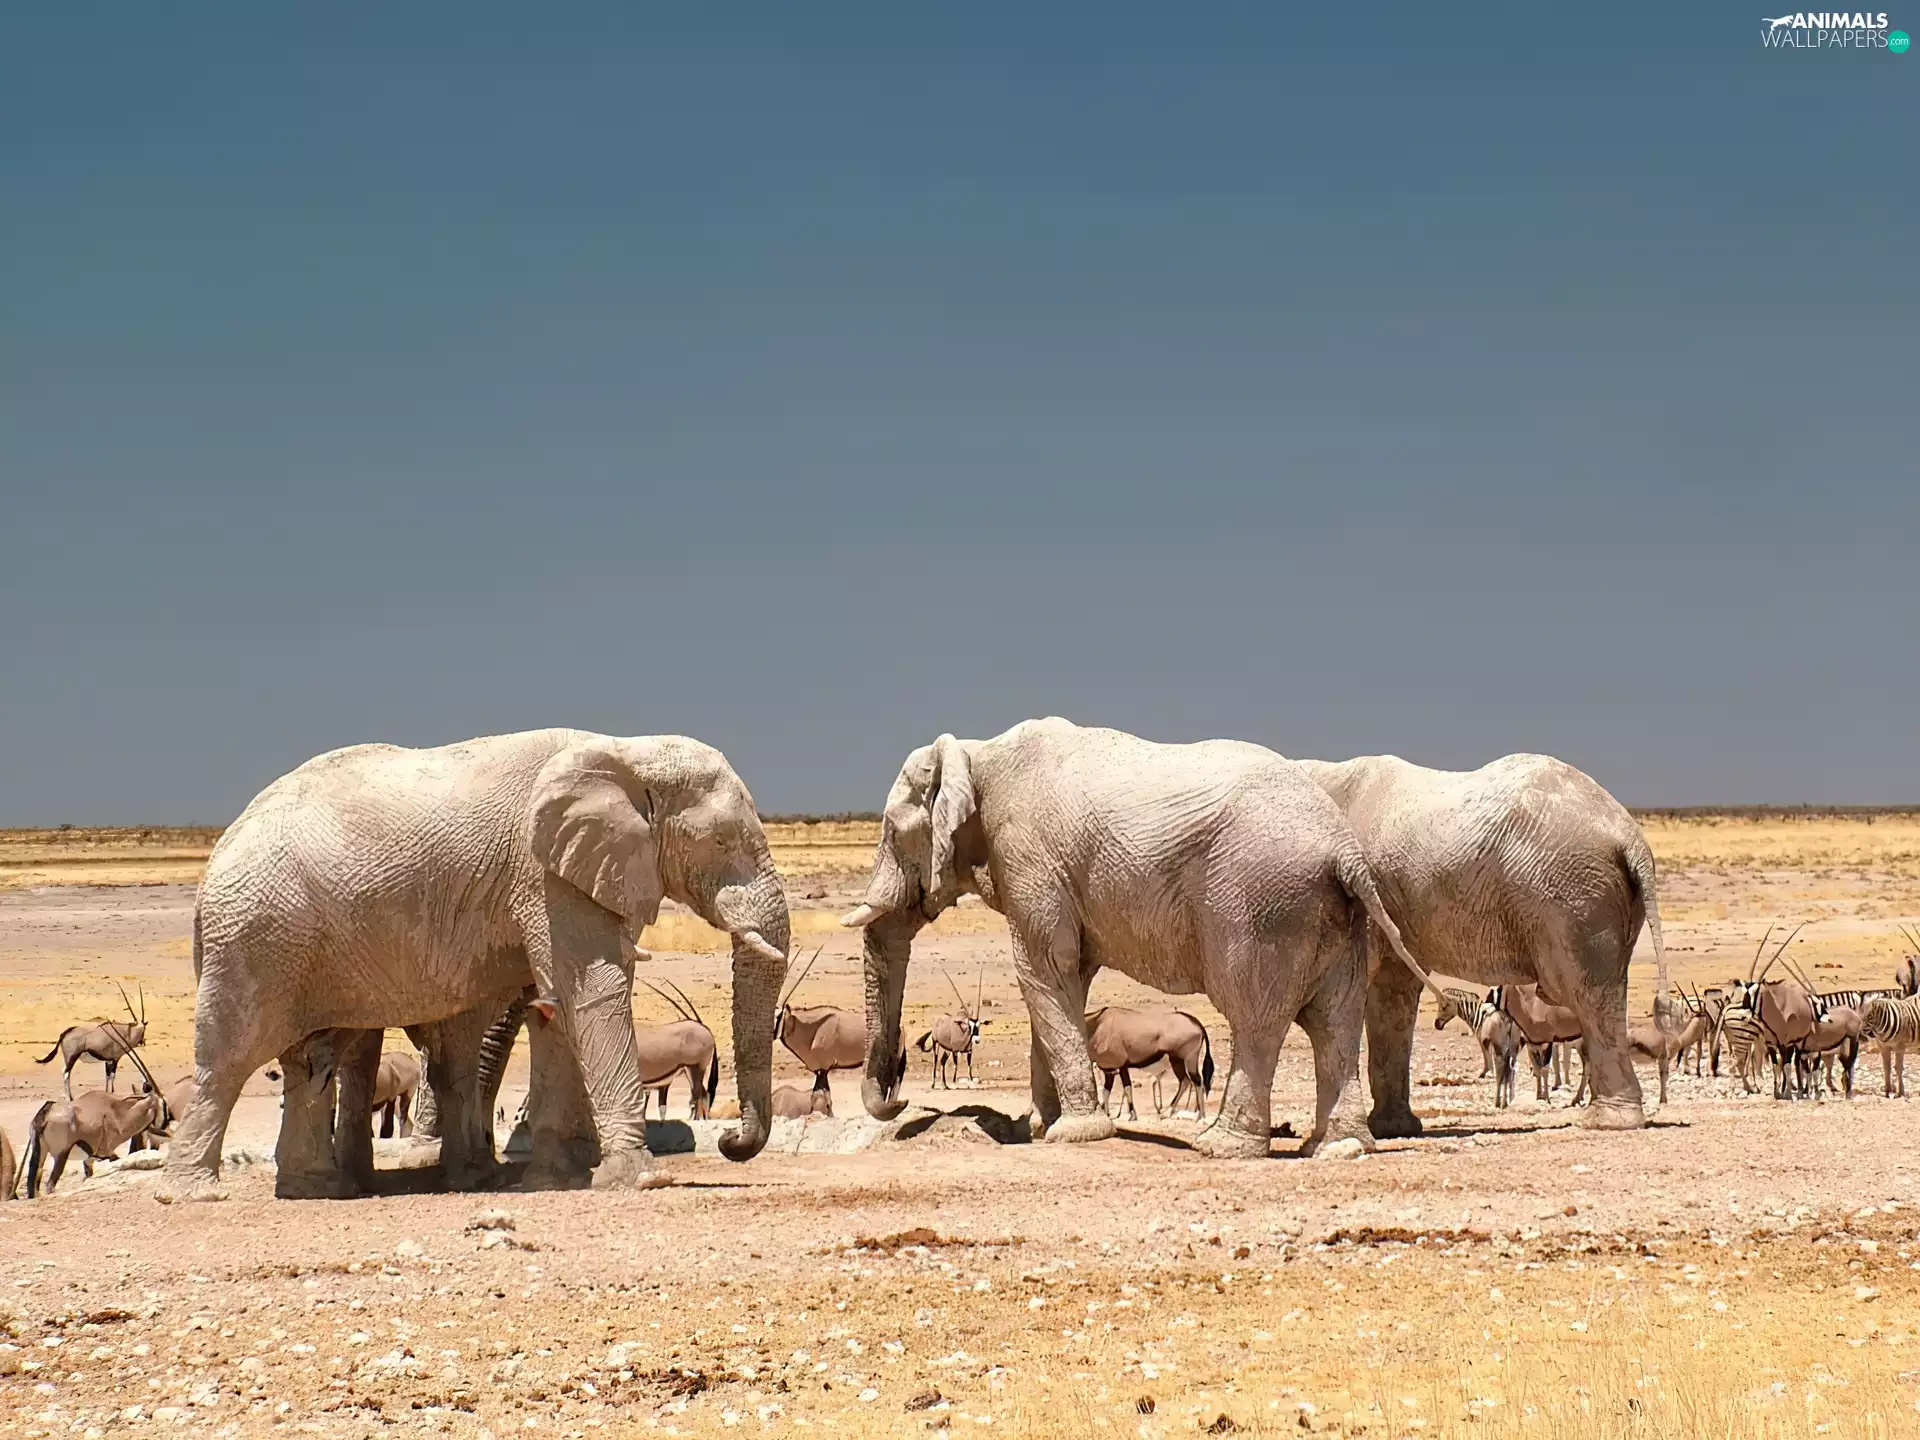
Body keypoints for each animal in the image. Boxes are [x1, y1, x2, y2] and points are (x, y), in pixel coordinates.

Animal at [162, 729, 791, 1201]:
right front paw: (635, 1178)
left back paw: (320, 1188)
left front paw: (559, 1178)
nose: (731, 1140)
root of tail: (219, 851)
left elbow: (555, 1006)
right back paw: (195, 1193)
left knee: (315, 1058)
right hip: (254, 938)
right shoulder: (544, 874)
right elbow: (592, 992)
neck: (625, 750)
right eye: (721, 842)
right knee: (229, 1059)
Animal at [843, 719, 1447, 1157]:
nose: (897, 1099)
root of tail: (1345, 852)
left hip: (1259, 907)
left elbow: (1043, 970)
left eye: (891, 832)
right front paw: (1038, 1128)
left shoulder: (1029, 857)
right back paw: (1338, 1147)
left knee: (1256, 1018)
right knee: (1334, 1021)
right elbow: (1065, 979)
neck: (978, 752)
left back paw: (1222, 1146)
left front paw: (1071, 1133)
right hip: (1338, 916)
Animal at [1296, 753, 1668, 1136]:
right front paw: (1393, 1129)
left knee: (1588, 995)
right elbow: (1393, 993)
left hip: (1574, 897)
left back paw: (1607, 1121)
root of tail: (1633, 840)